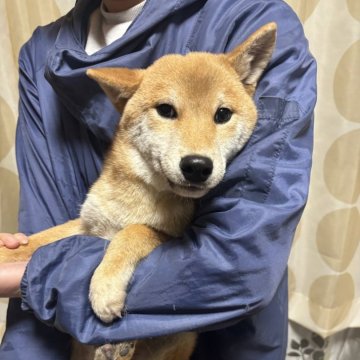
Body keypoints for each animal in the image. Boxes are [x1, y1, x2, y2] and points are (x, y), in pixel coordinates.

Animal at [0, 23, 278, 360]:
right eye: (166, 110)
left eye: (222, 115)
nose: (197, 166)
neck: (138, 193)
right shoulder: (86, 226)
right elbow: (40, 239)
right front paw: (8, 249)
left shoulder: (173, 236)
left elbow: (134, 231)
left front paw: (104, 287)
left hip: (179, 340)